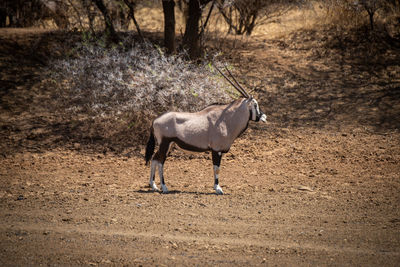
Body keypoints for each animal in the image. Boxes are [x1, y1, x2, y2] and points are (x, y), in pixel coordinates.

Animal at [144, 65, 266, 195]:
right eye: (255, 105)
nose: (263, 116)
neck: (226, 119)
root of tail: (155, 121)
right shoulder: (216, 150)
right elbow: (217, 169)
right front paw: (218, 188)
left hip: (168, 145)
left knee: (154, 159)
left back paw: (154, 186)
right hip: (165, 144)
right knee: (160, 162)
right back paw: (164, 187)